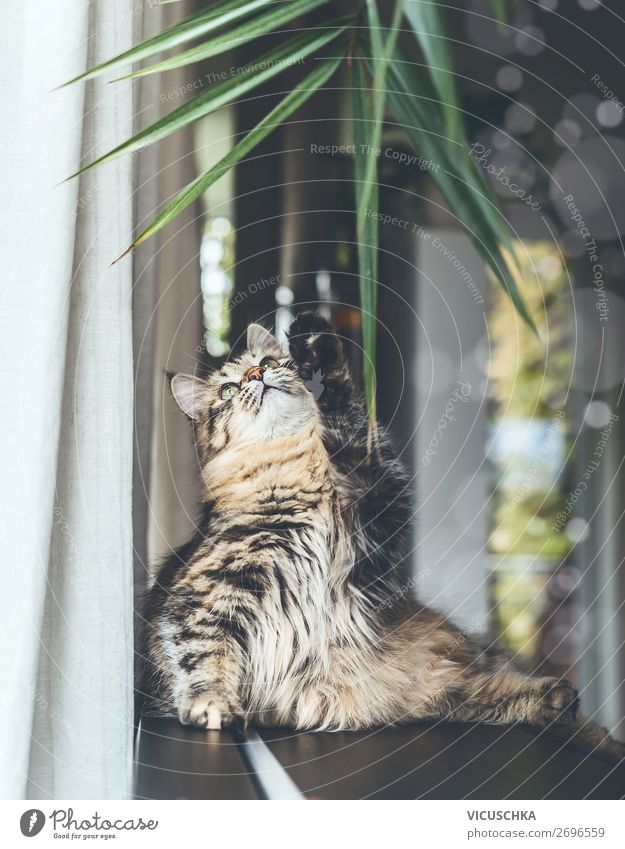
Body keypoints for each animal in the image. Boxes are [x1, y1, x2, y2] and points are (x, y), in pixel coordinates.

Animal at [143, 312, 624, 760]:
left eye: (267, 363)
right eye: (227, 390)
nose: (258, 377)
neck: (292, 468)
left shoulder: (376, 510)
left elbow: (352, 420)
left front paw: (317, 344)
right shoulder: (207, 592)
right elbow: (203, 656)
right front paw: (213, 706)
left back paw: (569, 709)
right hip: (455, 691)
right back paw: (559, 703)